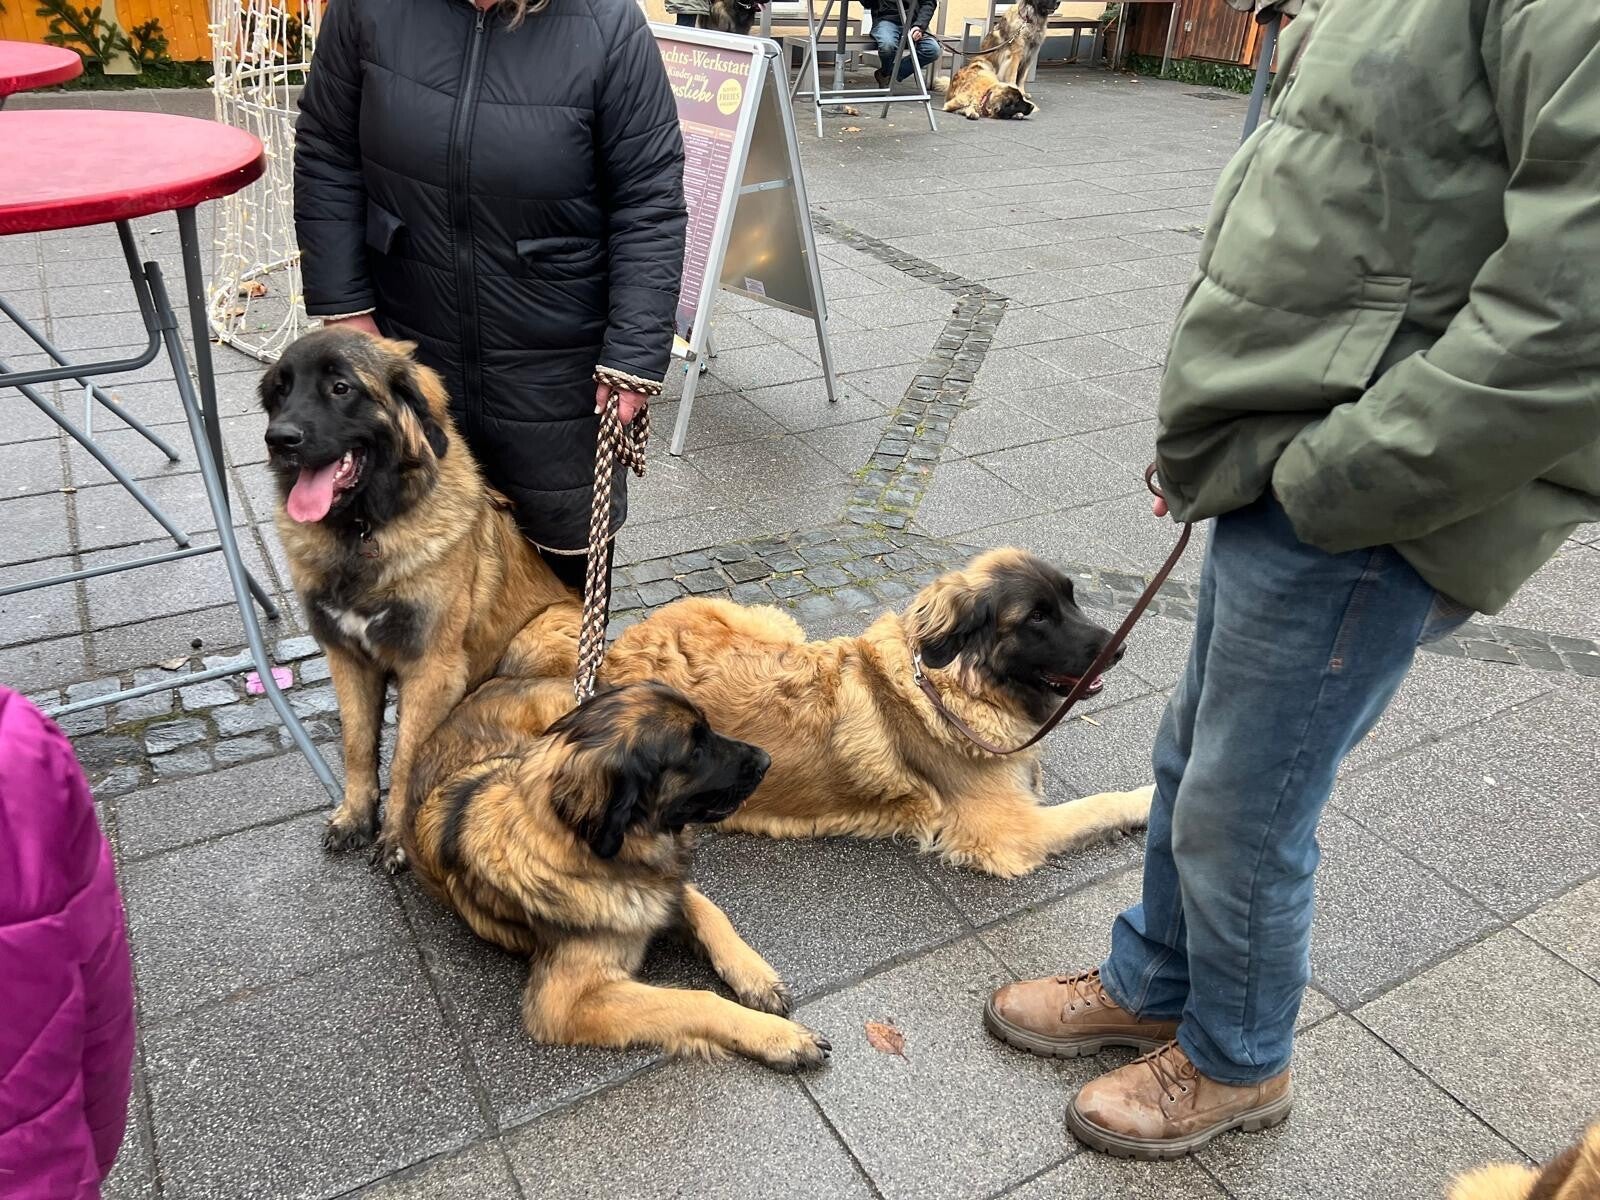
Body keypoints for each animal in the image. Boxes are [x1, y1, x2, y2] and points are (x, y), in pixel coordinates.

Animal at [261, 328, 581, 872]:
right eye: (281, 390)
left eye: (341, 388)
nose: (279, 439)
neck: (364, 532)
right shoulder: (347, 657)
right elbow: (357, 746)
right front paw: (355, 816)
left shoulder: (431, 668)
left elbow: (407, 759)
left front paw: (396, 837)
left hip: (540, 634)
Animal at [404, 677, 832, 1070]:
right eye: (694, 750)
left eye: (709, 729)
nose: (766, 760)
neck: (586, 851)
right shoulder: (564, 1003)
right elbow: (696, 999)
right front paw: (779, 1037)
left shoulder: (668, 891)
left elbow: (713, 915)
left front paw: (757, 977)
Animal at [603, 548, 1154, 878]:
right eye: (1037, 617)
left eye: (1072, 598)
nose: (1122, 648)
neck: (952, 686)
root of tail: (618, 648)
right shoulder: (1011, 832)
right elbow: (1099, 804)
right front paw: (1148, 801)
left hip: (778, 628)